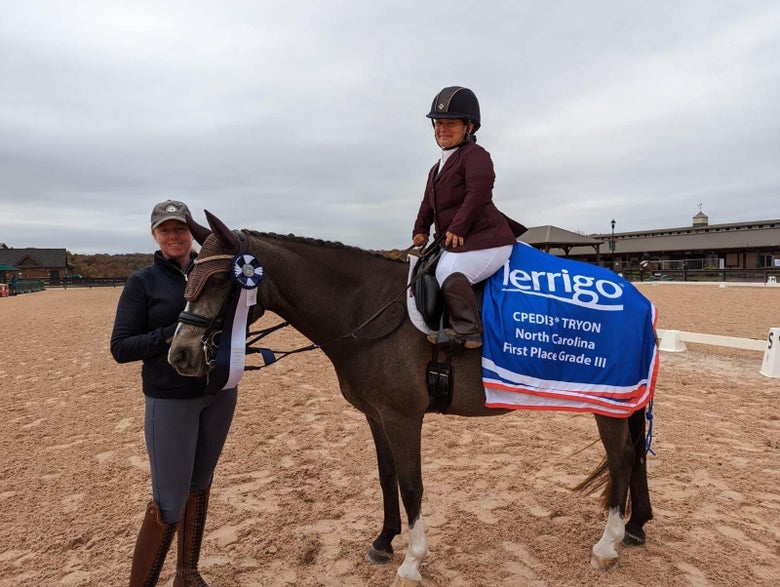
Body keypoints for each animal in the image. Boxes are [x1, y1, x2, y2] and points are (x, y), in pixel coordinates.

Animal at [168, 211, 653, 586]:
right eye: (188, 274)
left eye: (219, 279)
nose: (181, 355)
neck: (365, 308)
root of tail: (636, 297)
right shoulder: (376, 415)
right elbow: (387, 478)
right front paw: (384, 542)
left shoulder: (403, 417)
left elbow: (412, 484)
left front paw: (411, 562)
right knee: (635, 459)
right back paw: (635, 528)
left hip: (607, 404)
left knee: (623, 458)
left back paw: (606, 546)